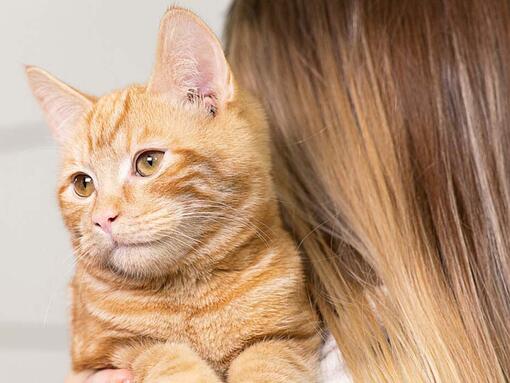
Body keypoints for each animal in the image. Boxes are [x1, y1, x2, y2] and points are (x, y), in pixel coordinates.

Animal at [24, 6, 318, 383]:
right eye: (83, 184)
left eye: (148, 162)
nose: (102, 218)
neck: (188, 293)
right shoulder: (107, 353)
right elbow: (163, 355)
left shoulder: (288, 335)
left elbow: (268, 365)